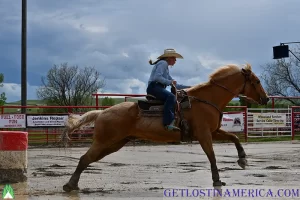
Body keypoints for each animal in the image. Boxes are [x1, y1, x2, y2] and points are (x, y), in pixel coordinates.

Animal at [61, 63, 270, 192]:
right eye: (257, 81)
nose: (266, 99)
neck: (207, 100)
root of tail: (101, 113)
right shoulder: (204, 135)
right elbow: (212, 156)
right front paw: (217, 179)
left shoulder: (214, 132)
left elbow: (234, 138)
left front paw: (242, 159)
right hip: (105, 142)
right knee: (84, 159)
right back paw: (69, 185)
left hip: (114, 144)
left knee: (88, 160)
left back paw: (72, 185)